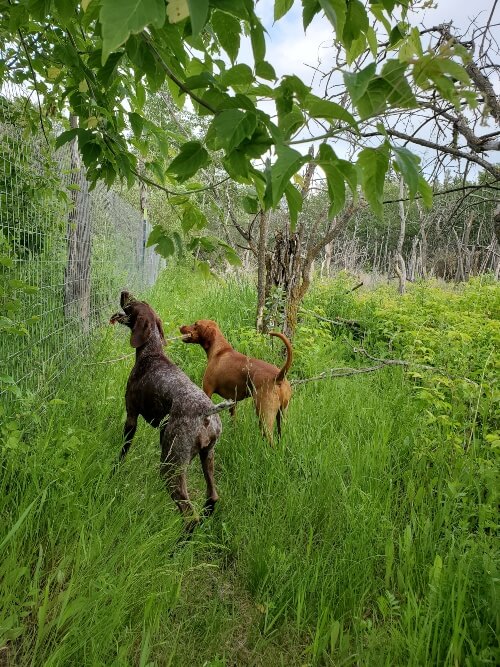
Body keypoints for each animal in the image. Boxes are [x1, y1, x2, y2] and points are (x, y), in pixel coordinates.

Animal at [109, 292, 232, 528]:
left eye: (133, 304)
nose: (124, 292)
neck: (151, 352)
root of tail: (208, 412)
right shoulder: (162, 431)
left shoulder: (131, 416)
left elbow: (123, 450)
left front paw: (114, 471)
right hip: (207, 456)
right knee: (212, 497)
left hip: (171, 465)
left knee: (189, 515)